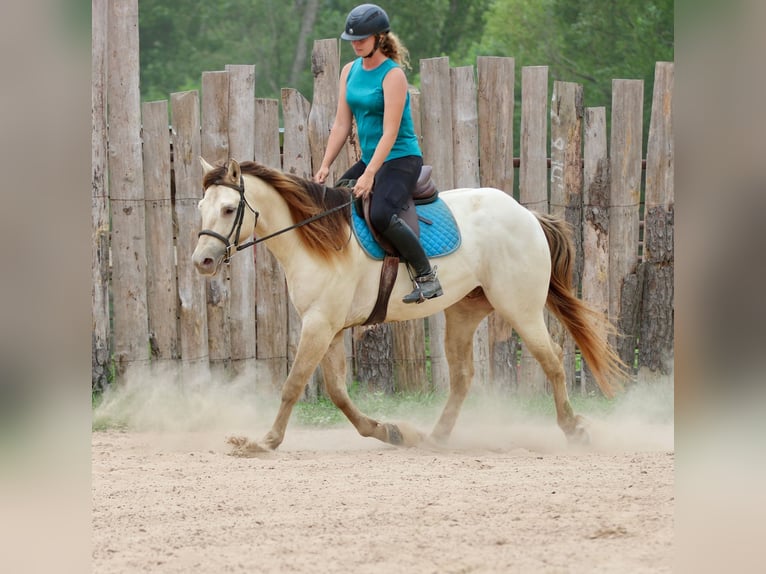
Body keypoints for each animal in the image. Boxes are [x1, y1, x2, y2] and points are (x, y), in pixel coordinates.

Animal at [192, 158, 625, 455]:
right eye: (201, 207)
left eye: (228, 209)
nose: (203, 262)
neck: (318, 238)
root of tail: (527, 215)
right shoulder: (328, 328)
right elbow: (337, 392)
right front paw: (390, 431)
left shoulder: (318, 324)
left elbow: (293, 385)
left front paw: (264, 442)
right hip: (464, 312)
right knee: (463, 376)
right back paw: (436, 437)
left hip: (520, 308)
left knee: (552, 361)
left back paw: (574, 429)